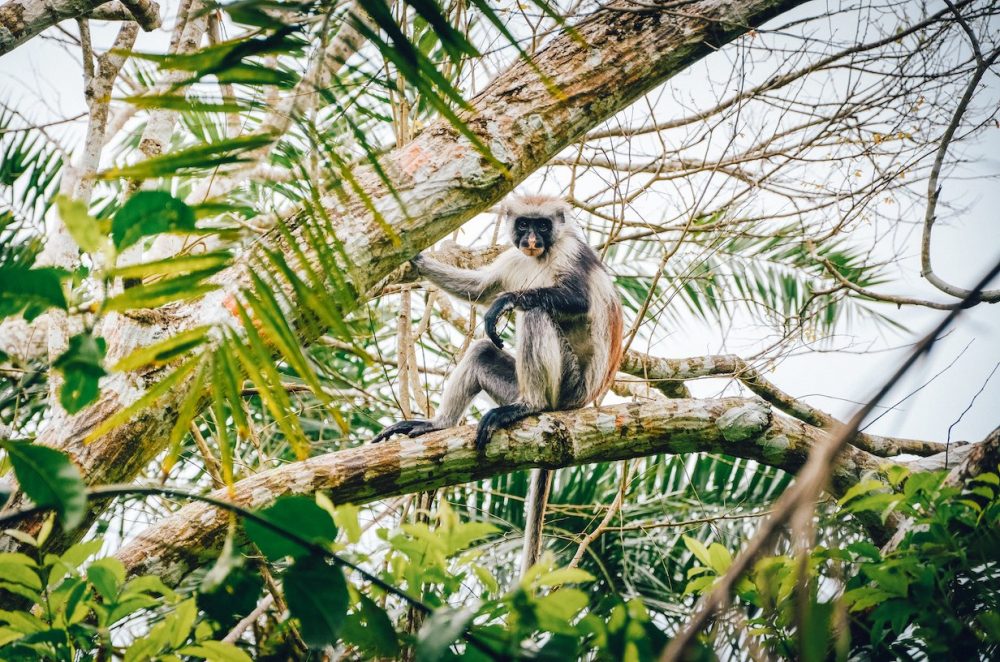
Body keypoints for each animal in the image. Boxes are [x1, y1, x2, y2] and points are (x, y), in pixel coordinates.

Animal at [376, 193, 624, 576]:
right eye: (524, 224)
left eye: (543, 226)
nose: (531, 240)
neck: (542, 255)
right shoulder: (514, 256)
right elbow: (478, 290)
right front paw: (414, 259)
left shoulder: (572, 250)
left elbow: (578, 299)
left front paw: (506, 301)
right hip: (513, 383)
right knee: (481, 350)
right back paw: (438, 425)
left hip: (569, 385)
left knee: (536, 312)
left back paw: (529, 406)